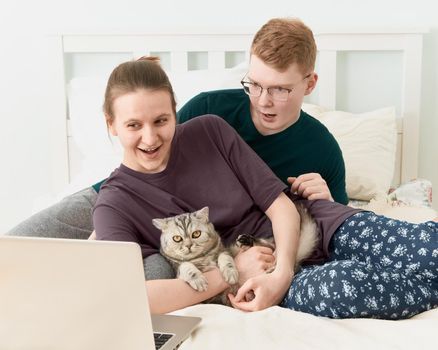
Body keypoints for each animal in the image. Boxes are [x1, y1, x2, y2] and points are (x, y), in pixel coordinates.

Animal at [152, 204, 316, 304]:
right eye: (177, 238)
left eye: (196, 234)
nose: (188, 246)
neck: (202, 257)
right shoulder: (177, 269)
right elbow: (186, 266)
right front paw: (198, 279)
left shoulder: (224, 250)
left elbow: (225, 258)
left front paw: (230, 273)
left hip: (250, 248)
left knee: (270, 248)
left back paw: (248, 241)